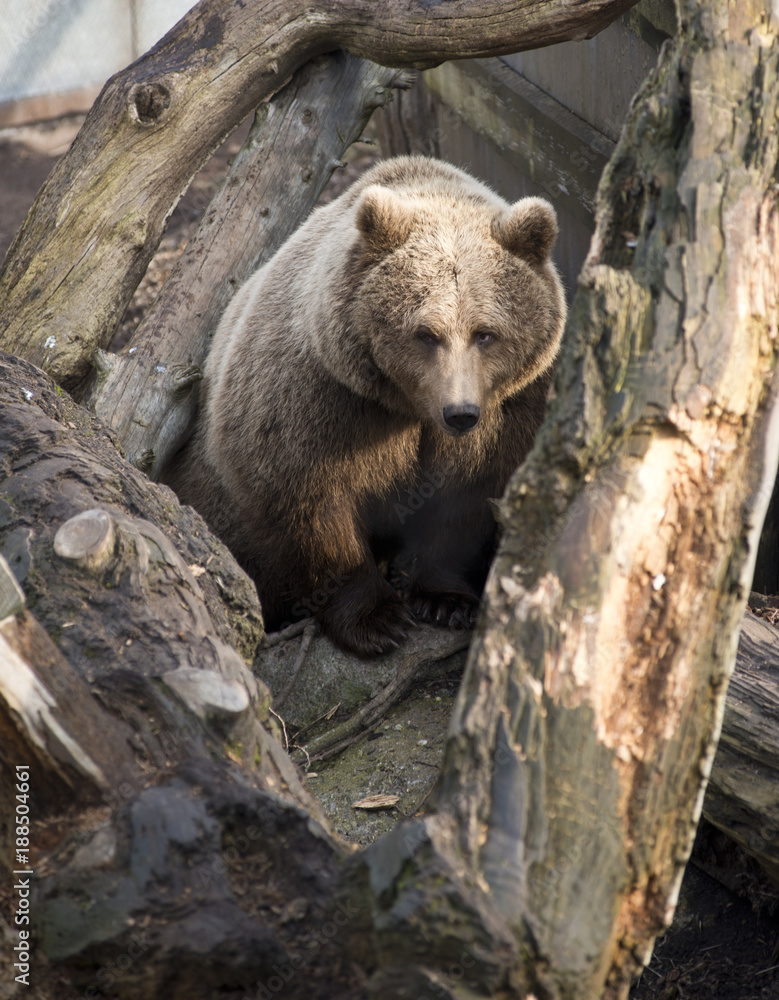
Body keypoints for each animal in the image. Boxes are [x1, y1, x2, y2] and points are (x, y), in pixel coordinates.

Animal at [164, 155, 566, 657]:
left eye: (485, 332)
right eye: (426, 333)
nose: (459, 413)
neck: (408, 406)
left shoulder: (509, 407)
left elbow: (467, 493)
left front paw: (447, 600)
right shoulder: (321, 399)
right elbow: (313, 504)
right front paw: (377, 620)